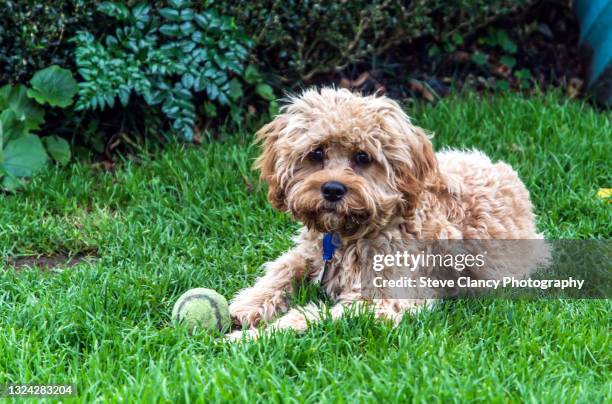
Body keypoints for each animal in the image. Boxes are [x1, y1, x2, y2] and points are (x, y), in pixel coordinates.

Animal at [226, 88, 544, 340]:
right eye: (316, 153)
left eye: (363, 157)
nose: (332, 189)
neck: (350, 234)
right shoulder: (308, 253)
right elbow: (280, 271)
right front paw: (244, 307)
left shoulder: (384, 300)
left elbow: (310, 316)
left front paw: (252, 337)